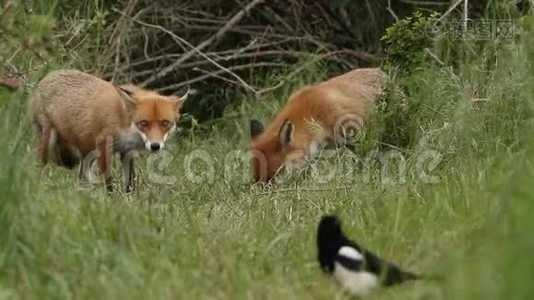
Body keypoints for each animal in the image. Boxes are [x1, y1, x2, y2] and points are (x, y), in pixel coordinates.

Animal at [30, 69, 191, 191]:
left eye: (165, 123)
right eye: (144, 123)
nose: (155, 146)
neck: (125, 122)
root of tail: (49, 74)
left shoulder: (128, 151)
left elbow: (130, 181)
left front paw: (130, 201)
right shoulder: (103, 145)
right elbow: (108, 181)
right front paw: (111, 200)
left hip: (87, 153)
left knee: (82, 178)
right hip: (48, 138)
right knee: (41, 165)